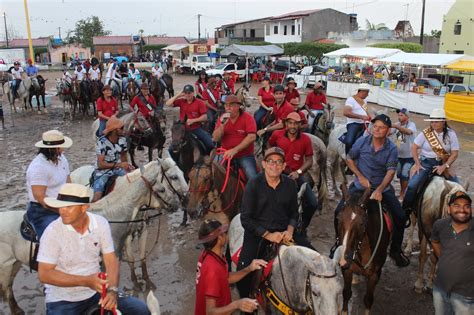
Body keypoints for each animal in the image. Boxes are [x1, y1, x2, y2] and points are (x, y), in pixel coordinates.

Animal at [0, 160, 189, 315]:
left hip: (14, 264)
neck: (110, 214)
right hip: (6, 266)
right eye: (165, 186)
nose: (178, 203)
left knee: (8, 288)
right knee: (7, 290)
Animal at [336, 184, 388, 314]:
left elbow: (368, 299)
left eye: (362, 223)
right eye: (338, 219)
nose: (343, 258)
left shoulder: (375, 274)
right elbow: (346, 293)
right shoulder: (347, 269)